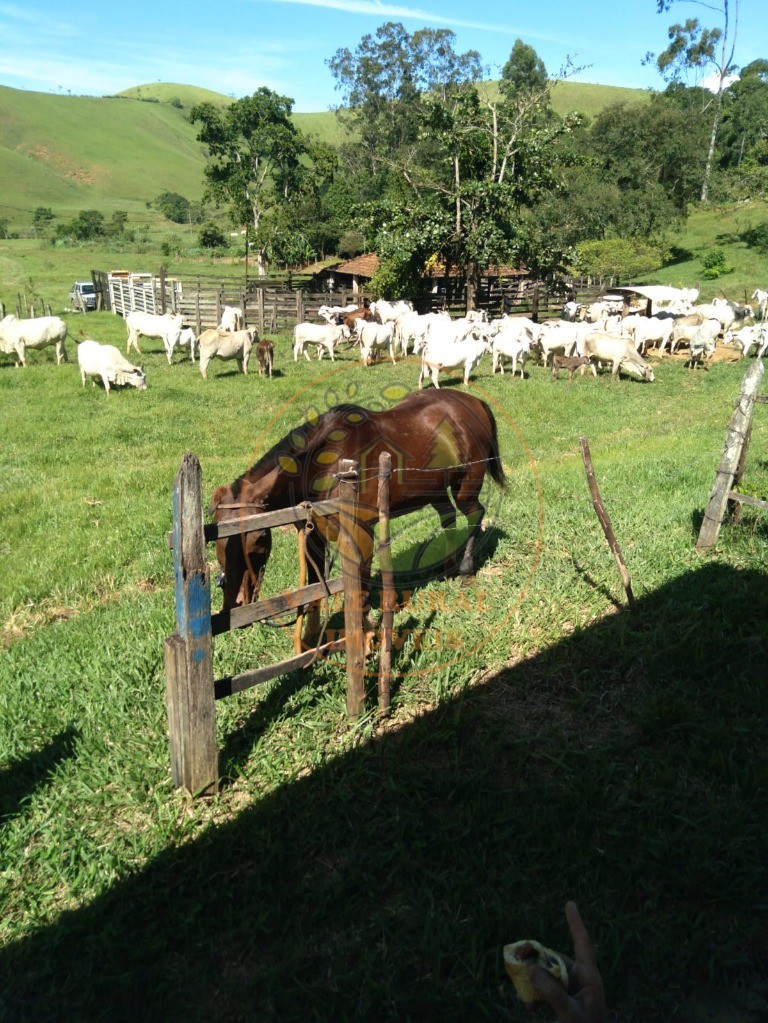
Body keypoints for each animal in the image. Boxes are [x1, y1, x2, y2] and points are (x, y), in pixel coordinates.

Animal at [210, 386, 507, 642]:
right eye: (218, 543)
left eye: (259, 538)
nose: (235, 604)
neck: (324, 465)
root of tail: (473, 403)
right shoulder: (313, 536)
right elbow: (315, 585)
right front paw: (310, 640)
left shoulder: (360, 531)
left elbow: (359, 582)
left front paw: (366, 634)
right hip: (434, 490)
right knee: (448, 518)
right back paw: (447, 566)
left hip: (465, 487)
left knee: (475, 514)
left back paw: (465, 571)